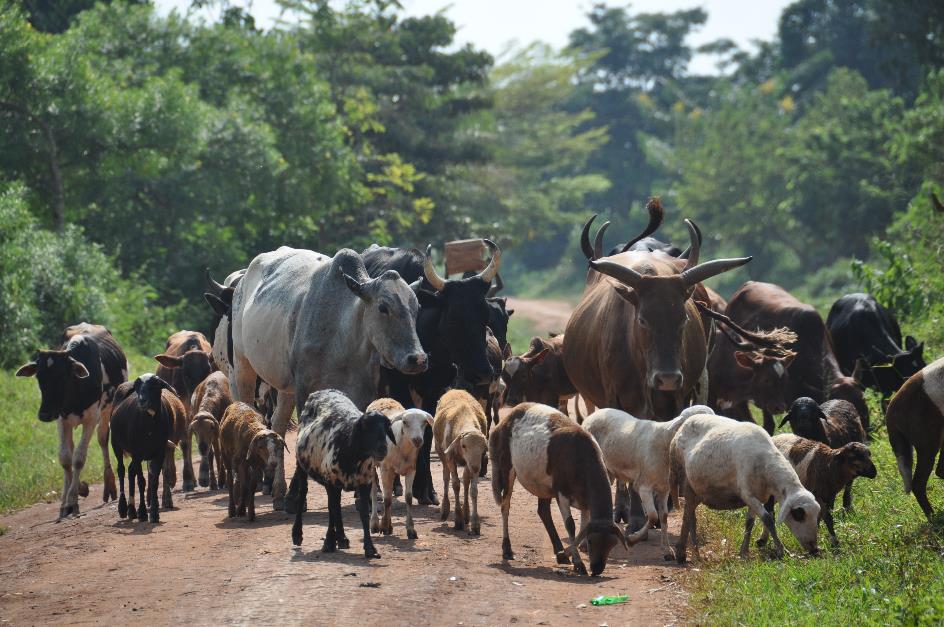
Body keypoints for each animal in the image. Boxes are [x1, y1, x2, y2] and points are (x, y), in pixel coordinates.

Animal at [15, 324, 127, 520]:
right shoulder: (61, 420)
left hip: (107, 410)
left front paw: (73, 502)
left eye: (62, 376)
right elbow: (65, 459)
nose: (44, 414)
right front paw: (67, 500)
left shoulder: (91, 418)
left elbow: (79, 459)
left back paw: (109, 484)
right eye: (39, 377)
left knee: (102, 439)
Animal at [360, 242, 498, 506]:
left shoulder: (435, 390)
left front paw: (427, 490)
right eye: (454, 317)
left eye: (485, 314)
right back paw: (384, 488)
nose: (483, 373)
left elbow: (425, 435)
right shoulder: (400, 386)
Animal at [436, 390, 490, 536]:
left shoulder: (473, 462)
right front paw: (458, 520)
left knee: (465, 481)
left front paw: (475, 523)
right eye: (464, 445)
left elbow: (473, 490)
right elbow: (455, 485)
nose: (476, 468)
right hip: (442, 454)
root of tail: (454, 390)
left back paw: (466, 514)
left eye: (483, 448)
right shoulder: (450, 459)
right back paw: (445, 510)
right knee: (445, 477)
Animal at [672, 412, 820, 564]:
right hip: (685, 480)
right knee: (687, 517)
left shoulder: (757, 496)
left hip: (698, 490)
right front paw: (782, 550)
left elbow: (749, 523)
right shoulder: (748, 494)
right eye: (799, 514)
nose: (814, 549)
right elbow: (768, 519)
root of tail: (688, 420)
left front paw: (744, 552)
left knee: (692, 517)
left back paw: (696, 553)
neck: (766, 464)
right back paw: (681, 553)